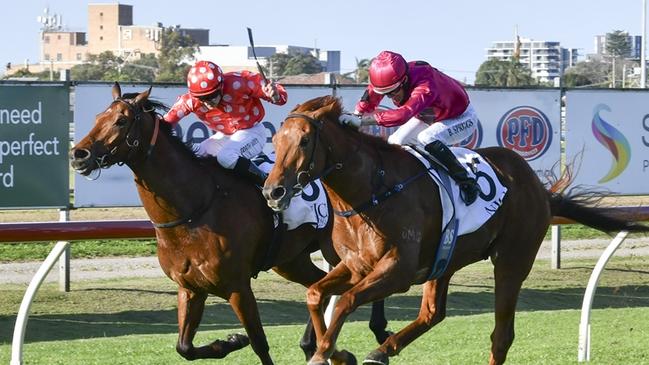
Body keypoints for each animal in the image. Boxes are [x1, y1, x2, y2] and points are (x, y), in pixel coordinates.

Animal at [69, 84, 390, 364]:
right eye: (98, 118)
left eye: (121, 121)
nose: (78, 155)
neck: (195, 208)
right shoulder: (190, 287)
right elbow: (184, 347)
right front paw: (230, 341)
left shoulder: (237, 286)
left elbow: (260, 343)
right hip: (290, 260)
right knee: (317, 284)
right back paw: (317, 345)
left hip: (339, 251)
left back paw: (376, 329)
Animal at [262, 94, 648, 364]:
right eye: (275, 141)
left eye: (304, 141)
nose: (272, 191)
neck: (371, 191)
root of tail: (540, 190)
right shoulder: (356, 265)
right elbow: (316, 294)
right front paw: (337, 352)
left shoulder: (398, 270)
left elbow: (346, 301)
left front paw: (324, 352)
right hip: (444, 261)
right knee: (433, 313)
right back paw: (383, 350)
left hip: (512, 260)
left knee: (501, 335)